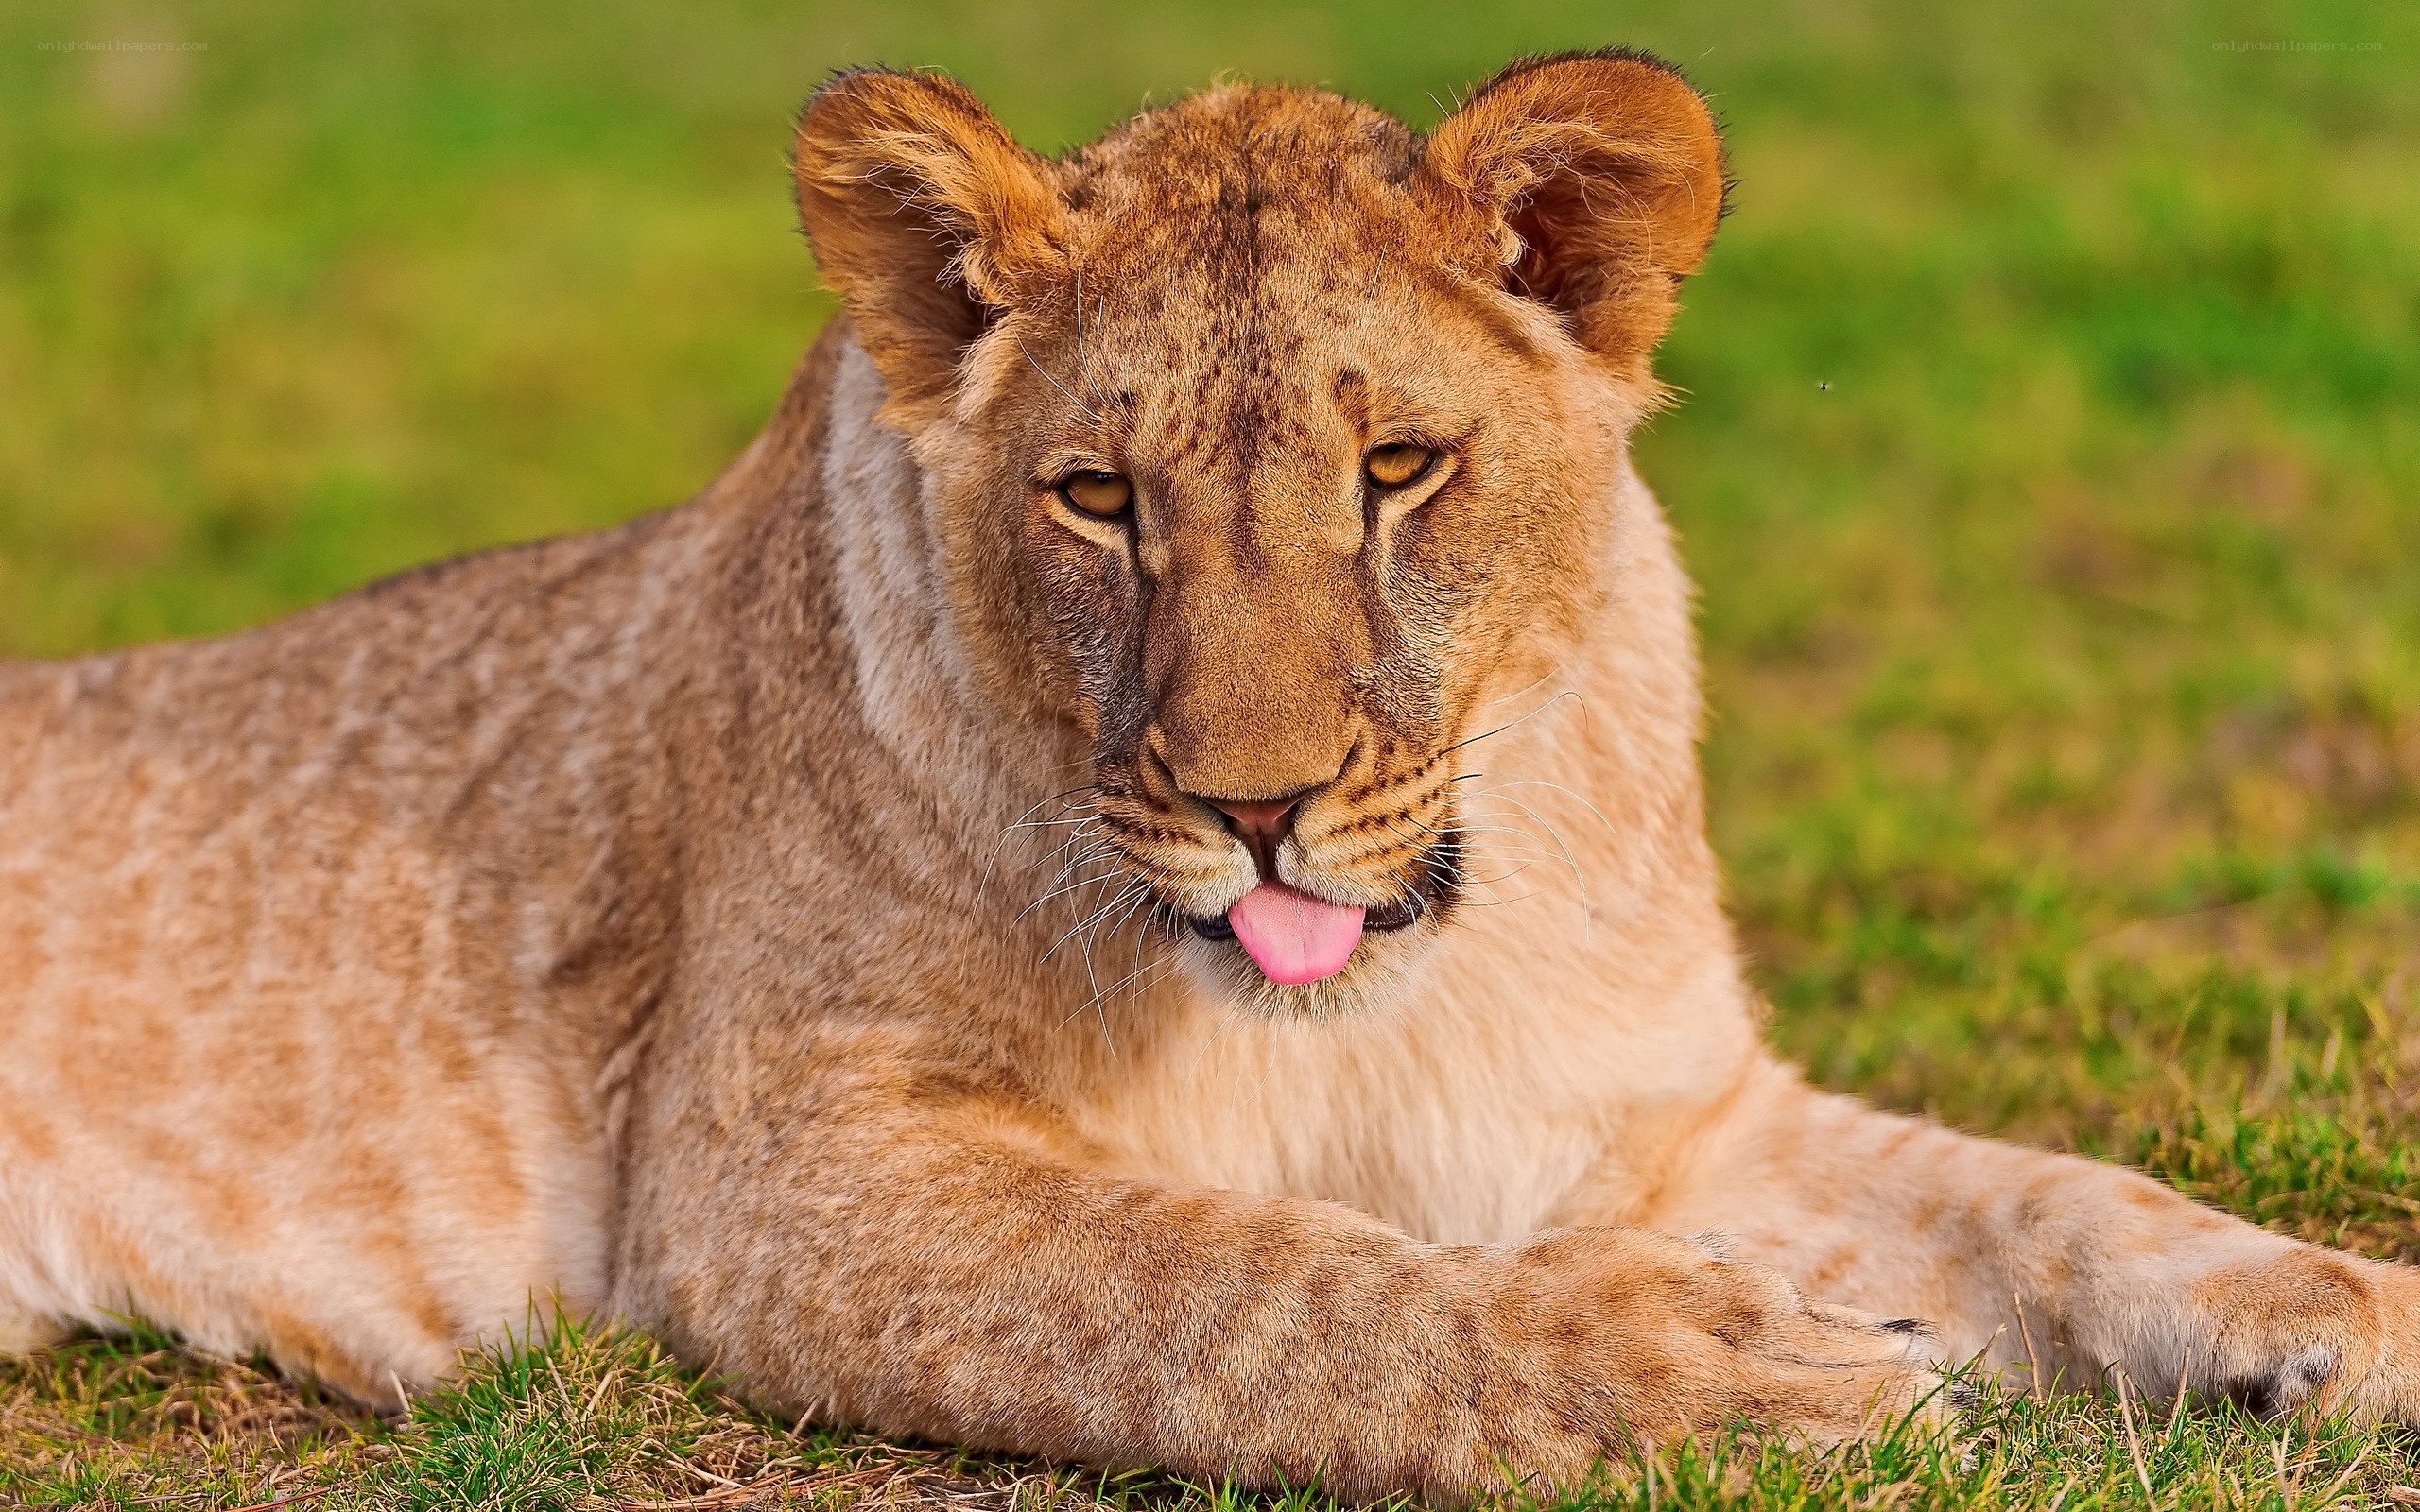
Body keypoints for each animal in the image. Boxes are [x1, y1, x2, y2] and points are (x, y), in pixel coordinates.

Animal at [2, 49, 2414, 1501]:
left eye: (1396, 468)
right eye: (1096, 497)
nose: (1257, 804)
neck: (1394, 989)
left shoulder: (1656, 1116)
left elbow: (2046, 1194)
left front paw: (2339, 1314)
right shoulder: (772, 1173)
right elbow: (1258, 1292)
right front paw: (1745, 1384)